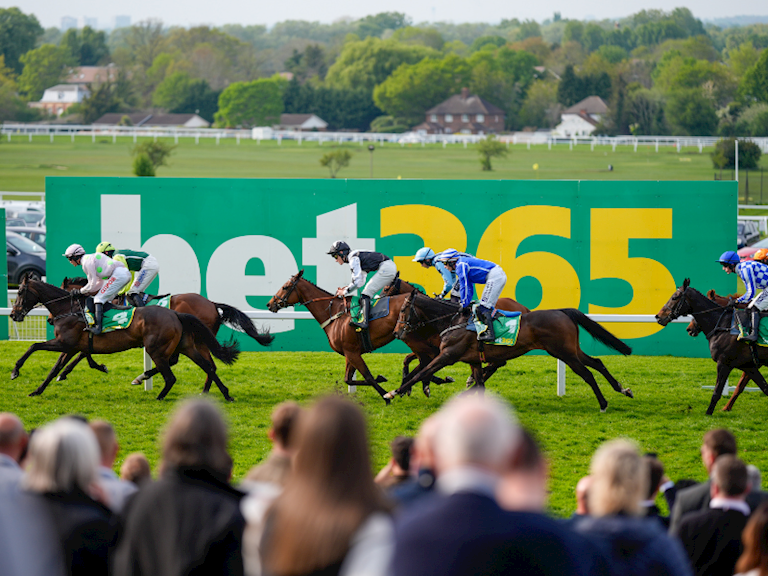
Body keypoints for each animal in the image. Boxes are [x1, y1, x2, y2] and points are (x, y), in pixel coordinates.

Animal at [10, 274, 241, 401]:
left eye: (20, 292)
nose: (13, 314)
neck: (70, 309)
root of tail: (175, 314)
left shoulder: (64, 343)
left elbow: (34, 346)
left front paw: (15, 371)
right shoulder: (71, 346)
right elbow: (55, 368)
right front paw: (38, 390)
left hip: (158, 349)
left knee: (172, 375)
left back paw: (156, 392)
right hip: (187, 345)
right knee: (208, 366)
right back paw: (226, 394)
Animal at [54, 277, 273, 388]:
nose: (50, 317)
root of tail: (211, 303)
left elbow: (82, 352)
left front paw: (63, 373)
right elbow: (83, 351)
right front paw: (65, 372)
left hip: (197, 339)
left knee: (204, 364)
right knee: (202, 363)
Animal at [267, 270, 449, 404]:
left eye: (285, 287)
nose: (270, 304)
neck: (334, 314)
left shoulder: (352, 352)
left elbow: (367, 376)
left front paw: (386, 395)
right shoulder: (350, 353)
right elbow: (348, 379)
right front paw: (382, 380)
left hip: (410, 337)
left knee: (429, 357)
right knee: (426, 359)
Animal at [388, 291, 634, 411]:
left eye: (403, 310)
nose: (397, 331)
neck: (454, 320)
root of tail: (562, 311)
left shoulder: (447, 356)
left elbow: (421, 372)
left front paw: (393, 392)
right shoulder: (474, 360)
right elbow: (479, 384)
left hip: (564, 353)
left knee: (588, 373)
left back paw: (603, 404)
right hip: (571, 350)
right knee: (597, 363)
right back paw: (623, 389)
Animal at [656, 278, 768, 414]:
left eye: (674, 297)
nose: (658, 316)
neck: (725, 325)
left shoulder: (724, 363)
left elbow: (717, 392)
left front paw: (708, 413)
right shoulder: (749, 366)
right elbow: (757, 387)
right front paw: (726, 408)